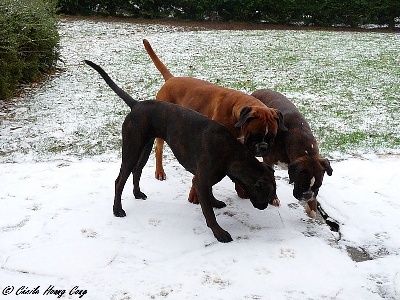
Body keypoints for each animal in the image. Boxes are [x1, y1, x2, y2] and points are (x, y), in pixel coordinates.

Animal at [85, 59, 278, 243]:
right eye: (268, 193)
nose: (265, 206)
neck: (230, 152)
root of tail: (137, 104)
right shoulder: (200, 180)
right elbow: (209, 213)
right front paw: (219, 232)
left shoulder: (205, 179)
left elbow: (210, 194)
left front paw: (215, 202)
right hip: (132, 150)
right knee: (120, 180)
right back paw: (117, 209)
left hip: (144, 148)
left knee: (137, 170)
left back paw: (137, 193)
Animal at [142, 38, 286, 205]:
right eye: (255, 135)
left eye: (272, 138)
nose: (263, 147)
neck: (234, 113)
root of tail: (171, 79)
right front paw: (195, 196)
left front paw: (241, 190)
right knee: (158, 149)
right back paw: (160, 171)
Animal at [252, 88, 332, 217]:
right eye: (302, 185)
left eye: (318, 186)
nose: (307, 196)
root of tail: (258, 90)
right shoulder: (269, 161)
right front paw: (273, 198)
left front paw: (312, 206)